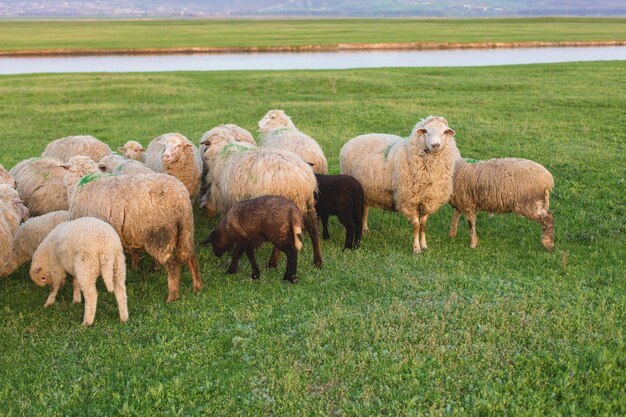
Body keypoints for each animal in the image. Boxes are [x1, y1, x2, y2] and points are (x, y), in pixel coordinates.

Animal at [63, 154, 201, 300]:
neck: (84, 181)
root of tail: (181, 198)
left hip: (160, 236)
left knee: (173, 266)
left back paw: (172, 297)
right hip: (186, 230)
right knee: (191, 257)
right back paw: (197, 286)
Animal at [338, 114, 460, 254]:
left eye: (444, 132)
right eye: (426, 131)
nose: (435, 145)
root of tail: (351, 140)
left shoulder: (427, 199)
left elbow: (423, 225)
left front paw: (424, 245)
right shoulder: (409, 199)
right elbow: (416, 225)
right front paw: (416, 248)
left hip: (365, 189)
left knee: (365, 209)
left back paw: (365, 229)